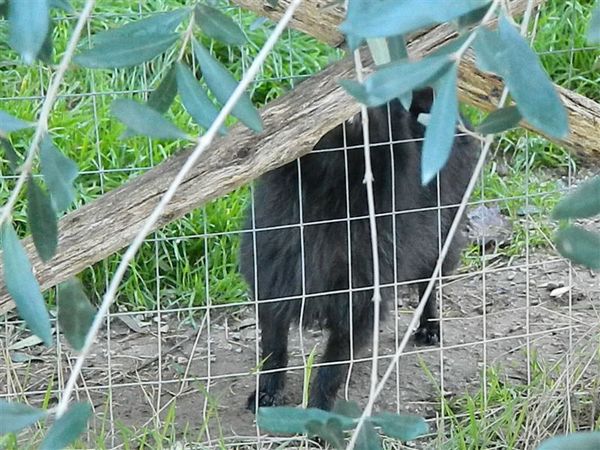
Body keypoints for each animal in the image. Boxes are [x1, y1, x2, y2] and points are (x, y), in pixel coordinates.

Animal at [239, 89, 478, 412]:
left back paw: (428, 326)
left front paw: (319, 408)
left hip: (442, 235)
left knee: (428, 283)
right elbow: (274, 350)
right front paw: (268, 391)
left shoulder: (362, 300)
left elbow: (332, 366)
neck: (333, 200)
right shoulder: (273, 280)